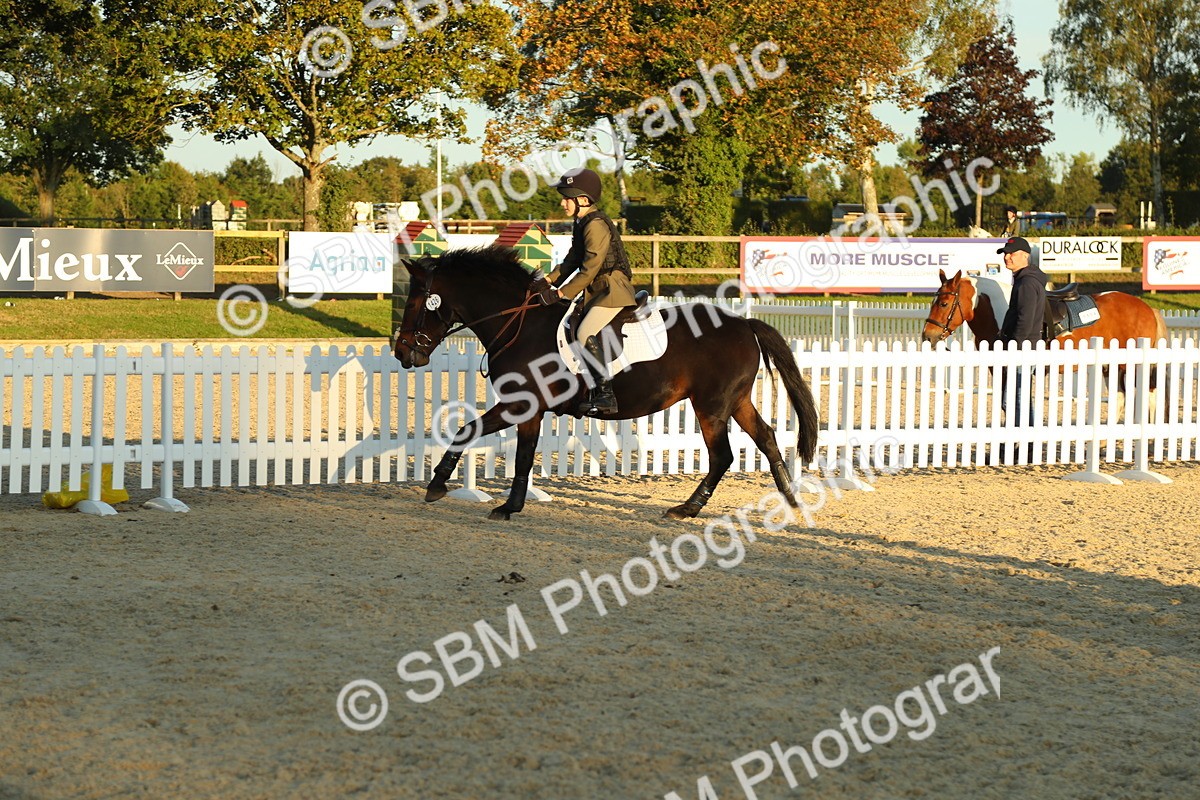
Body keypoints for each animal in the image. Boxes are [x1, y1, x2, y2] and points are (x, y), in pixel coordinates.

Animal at [391, 246, 819, 520]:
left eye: (414, 304)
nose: (402, 353)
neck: (519, 324)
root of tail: (744, 323)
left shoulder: (522, 405)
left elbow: (498, 445)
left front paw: (483, 499)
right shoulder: (525, 407)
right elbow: (492, 441)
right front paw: (467, 493)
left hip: (711, 405)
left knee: (722, 456)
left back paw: (688, 509)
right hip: (736, 401)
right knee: (766, 438)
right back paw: (790, 500)